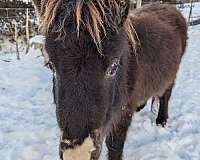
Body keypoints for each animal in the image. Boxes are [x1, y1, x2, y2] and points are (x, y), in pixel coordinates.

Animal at [32, 0, 187, 159]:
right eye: (50, 65)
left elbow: (114, 146)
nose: (78, 154)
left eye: (113, 67)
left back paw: (161, 121)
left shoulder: (123, 113)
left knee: (165, 96)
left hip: (172, 76)